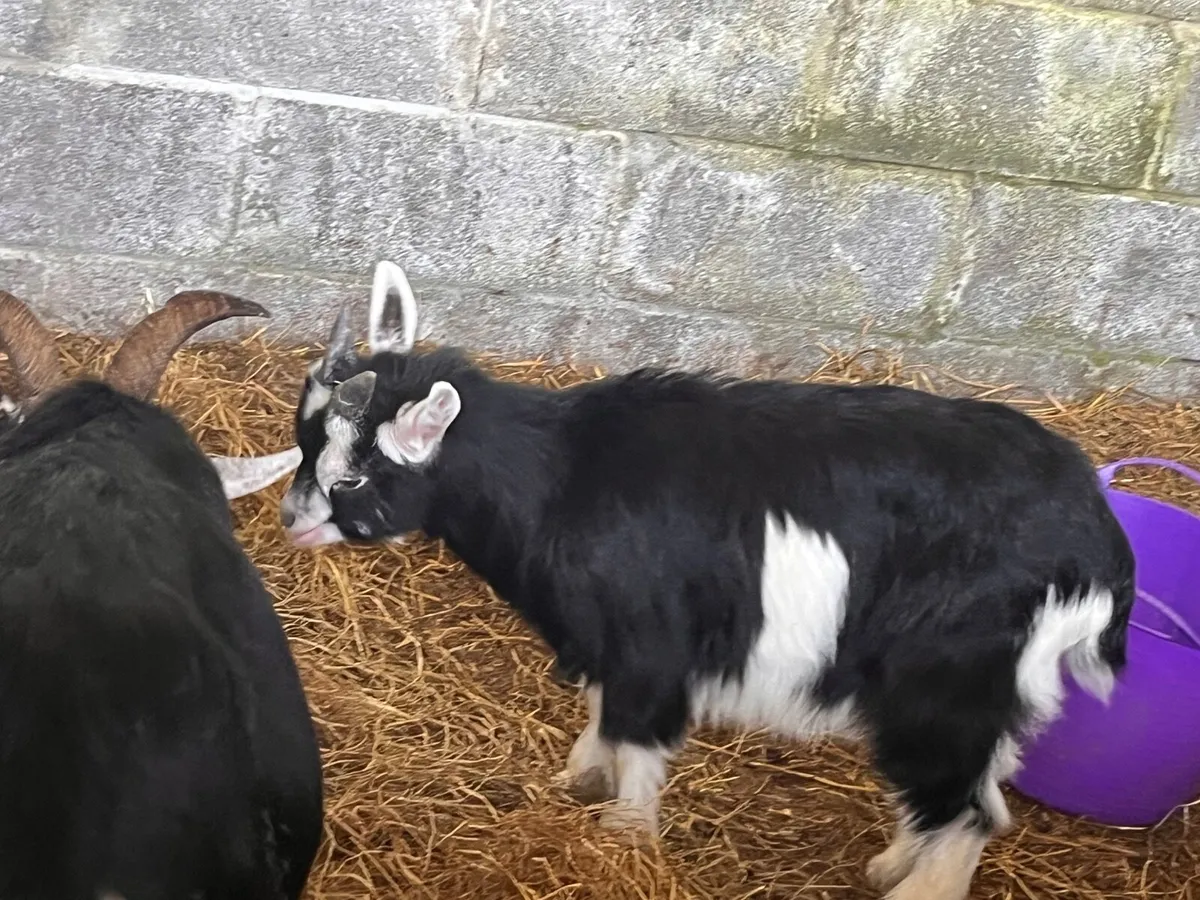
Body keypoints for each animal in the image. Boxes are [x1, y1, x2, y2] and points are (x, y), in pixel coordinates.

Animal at [279, 261, 1134, 900]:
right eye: (303, 437)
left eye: (354, 478)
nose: (290, 521)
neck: (561, 479)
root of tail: (1095, 538)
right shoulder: (608, 639)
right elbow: (602, 716)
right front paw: (579, 778)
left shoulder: (650, 644)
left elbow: (639, 741)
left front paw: (623, 841)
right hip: (988, 692)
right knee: (979, 789)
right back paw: (893, 862)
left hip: (943, 687)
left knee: (966, 812)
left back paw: (914, 886)